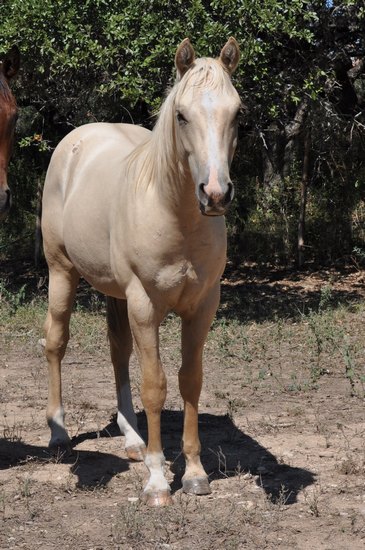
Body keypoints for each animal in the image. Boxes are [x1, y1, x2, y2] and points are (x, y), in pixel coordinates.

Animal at [42, 36, 240, 506]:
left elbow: (189, 381)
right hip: (62, 272)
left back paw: (131, 439)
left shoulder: (203, 306)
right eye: (181, 115)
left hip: (115, 294)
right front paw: (157, 480)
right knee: (56, 341)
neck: (176, 217)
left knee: (118, 351)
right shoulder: (145, 304)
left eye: (237, 113)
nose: (215, 194)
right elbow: (155, 385)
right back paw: (58, 433)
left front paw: (195, 474)